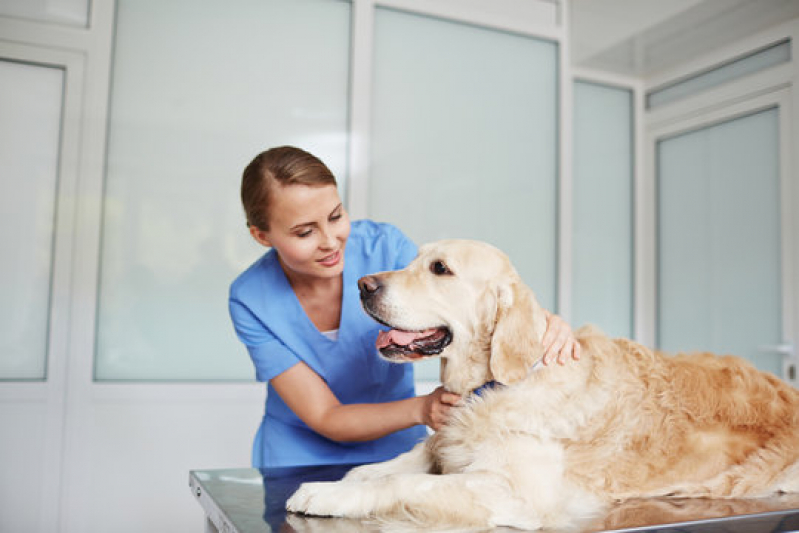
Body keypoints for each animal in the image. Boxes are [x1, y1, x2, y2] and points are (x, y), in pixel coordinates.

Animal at [288, 240, 799, 528]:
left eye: (440, 269)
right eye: (413, 259)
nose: (361, 284)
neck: (493, 384)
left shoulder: (515, 493)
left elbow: (406, 484)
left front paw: (328, 493)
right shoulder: (446, 441)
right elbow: (395, 462)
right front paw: (349, 476)